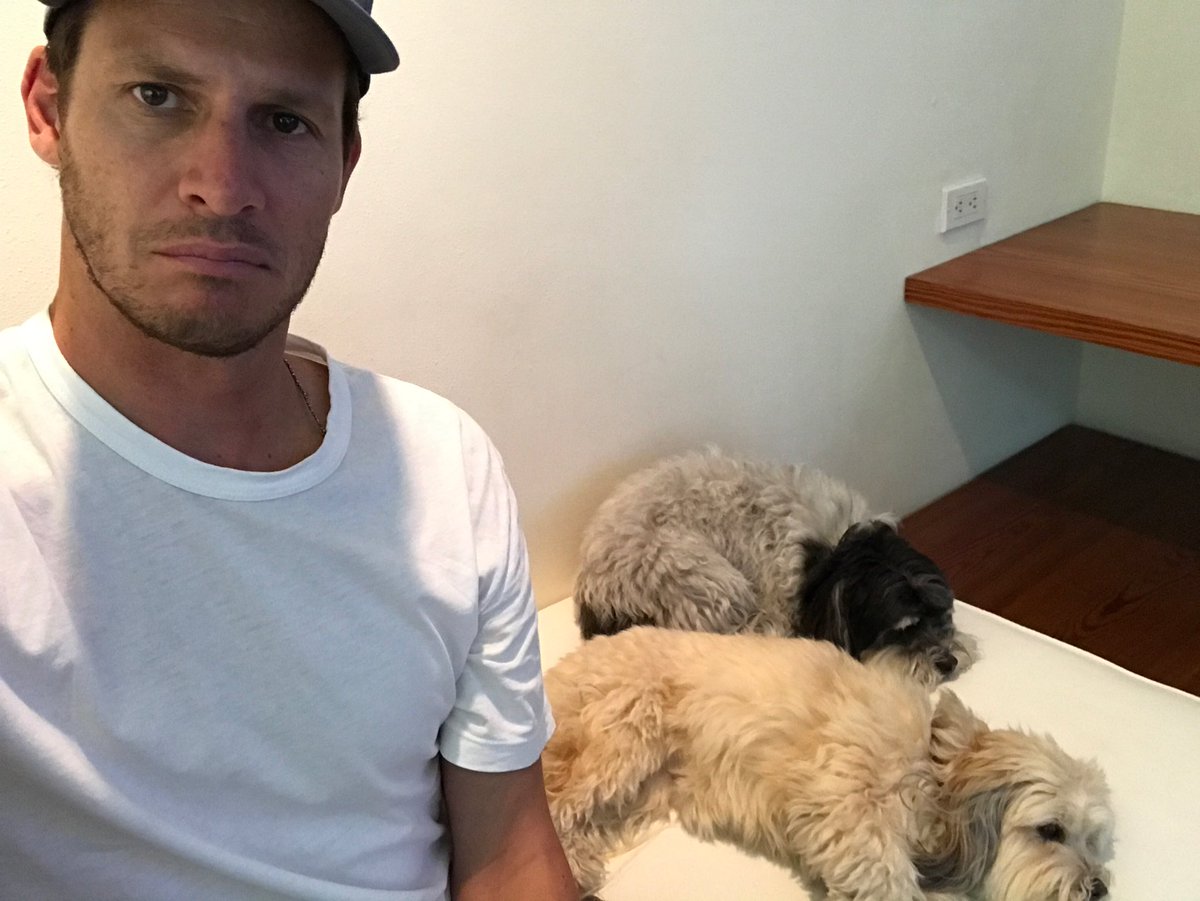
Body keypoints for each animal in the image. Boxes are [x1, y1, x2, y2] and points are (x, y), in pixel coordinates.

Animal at [544, 628, 1114, 901]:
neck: (933, 767)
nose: (1099, 890)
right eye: (1051, 830)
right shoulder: (848, 815)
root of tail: (563, 667)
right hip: (620, 743)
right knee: (556, 805)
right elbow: (888, 879)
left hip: (642, 791)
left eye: (1093, 840)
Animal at [574, 449, 974, 686]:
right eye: (901, 630)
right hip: (706, 582)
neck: (836, 554)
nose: (949, 661)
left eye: (943, 614)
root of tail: (593, 587)